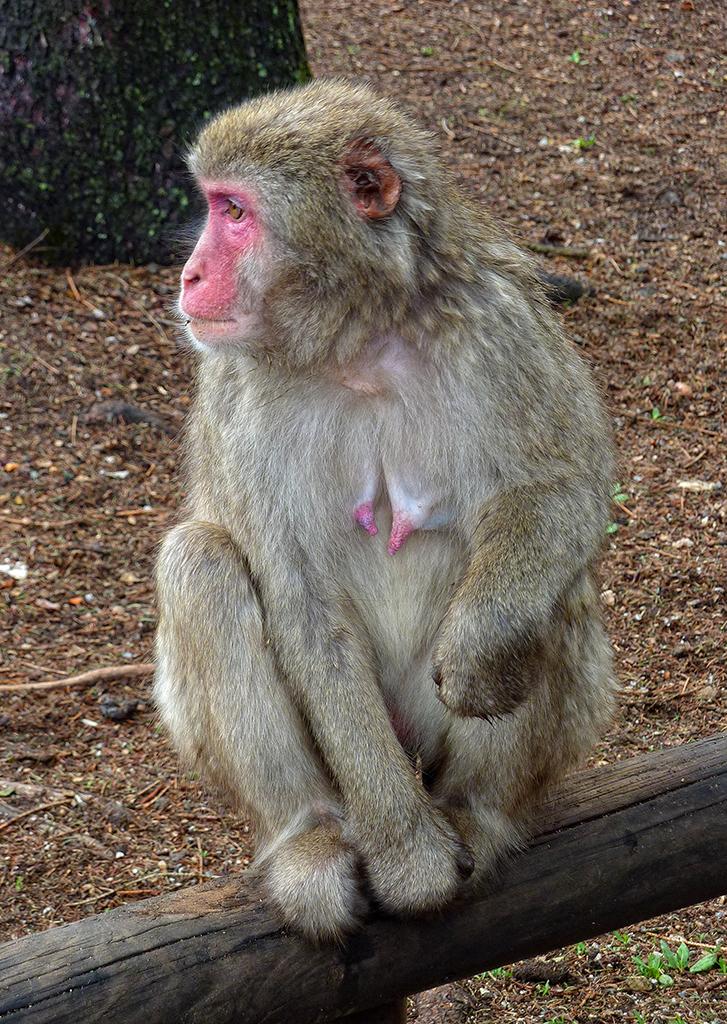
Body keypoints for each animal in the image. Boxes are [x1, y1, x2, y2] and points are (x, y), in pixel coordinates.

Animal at [153, 79, 616, 944]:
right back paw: (309, 835)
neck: (357, 339)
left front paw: (482, 650)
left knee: (556, 588)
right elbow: (303, 608)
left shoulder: (499, 322)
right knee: (198, 563)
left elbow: (562, 490)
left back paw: (474, 812)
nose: (192, 277)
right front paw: (409, 861)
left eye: (234, 212)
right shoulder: (237, 392)